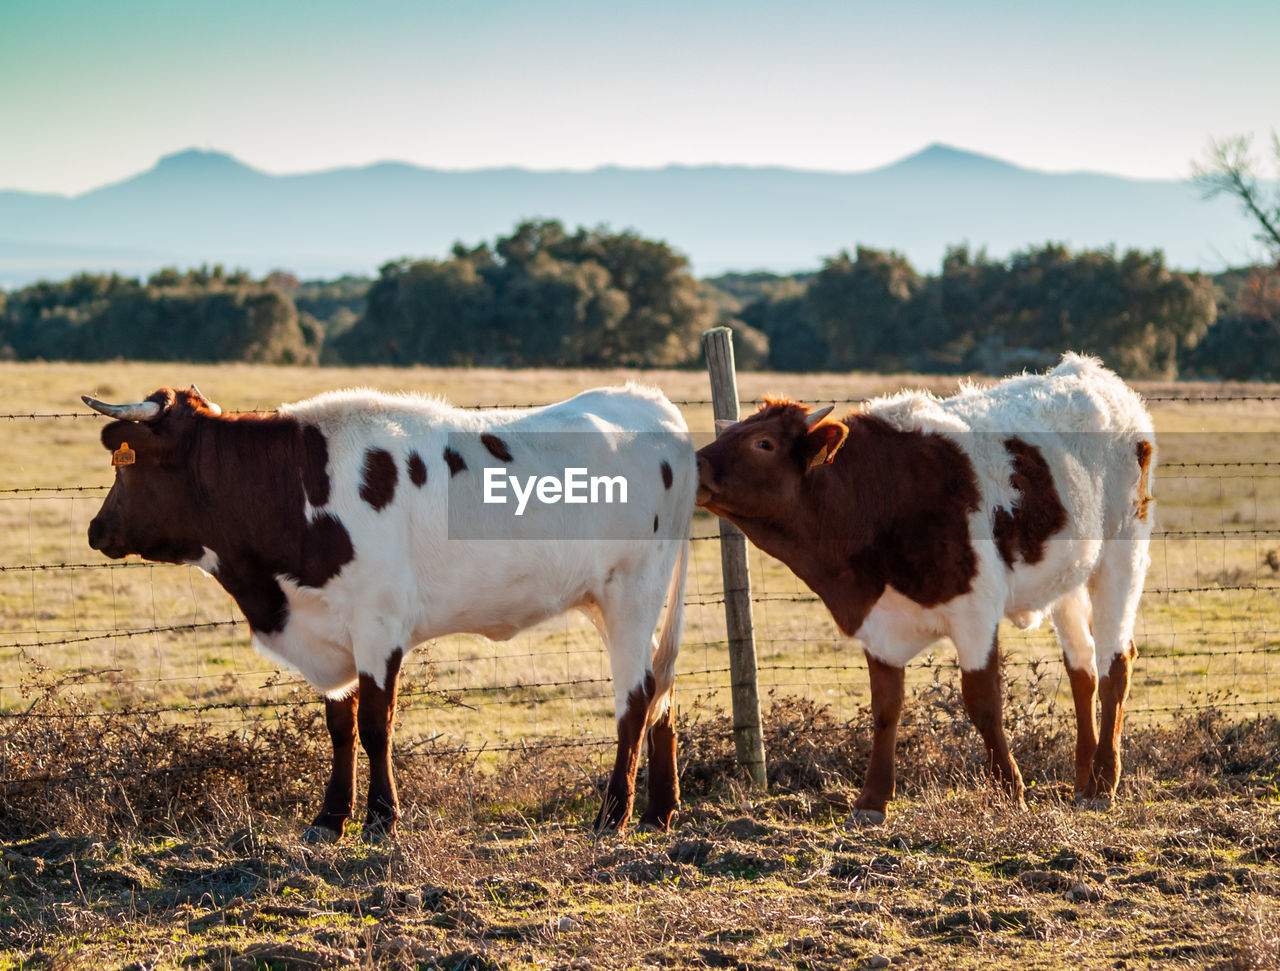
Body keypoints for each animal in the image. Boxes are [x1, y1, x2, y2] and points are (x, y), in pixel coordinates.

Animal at [83, 383, 696, 839]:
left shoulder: (378, 625)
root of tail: (651, 404)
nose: (96, 530)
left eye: (127, 467)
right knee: (661, 686)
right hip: (612, 602)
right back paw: (659, 811)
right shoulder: (331, 630)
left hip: (634, 592)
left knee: (636, 697)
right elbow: (339, 724)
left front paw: (381, 817)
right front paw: (330, 818)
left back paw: (613, 815)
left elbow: (376, 724)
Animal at [696, 353, 1157, 823]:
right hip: (1068, 578)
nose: (694, 465)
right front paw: (872, 801)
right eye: (729, 433)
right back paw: (1083, 782)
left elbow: (983, 702)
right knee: (1083, 668)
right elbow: (886, 709)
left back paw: (1103, 783)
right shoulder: (878, 624)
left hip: (1123, 554)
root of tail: (1093, 373)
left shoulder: (975, 612)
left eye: (763, 444)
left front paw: (1010, 791)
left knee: (1115, 663)